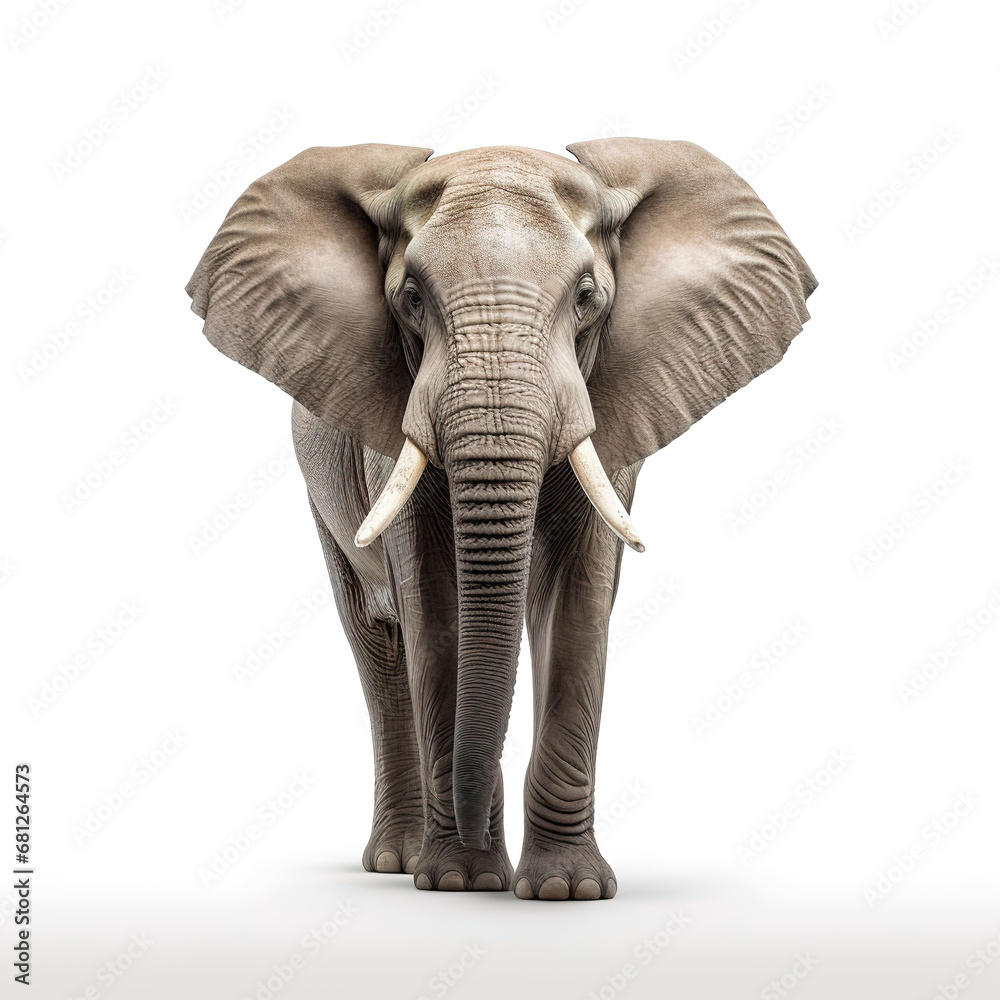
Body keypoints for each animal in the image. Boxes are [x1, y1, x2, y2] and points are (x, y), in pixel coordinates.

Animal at [186, 138, 816, 900]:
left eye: (587, 299)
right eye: (411, 299)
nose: (475, 851)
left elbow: (577, 607)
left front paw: (564, 890)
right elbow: (435, 611)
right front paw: (460, 879)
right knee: (378, 649)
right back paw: (399, 861)